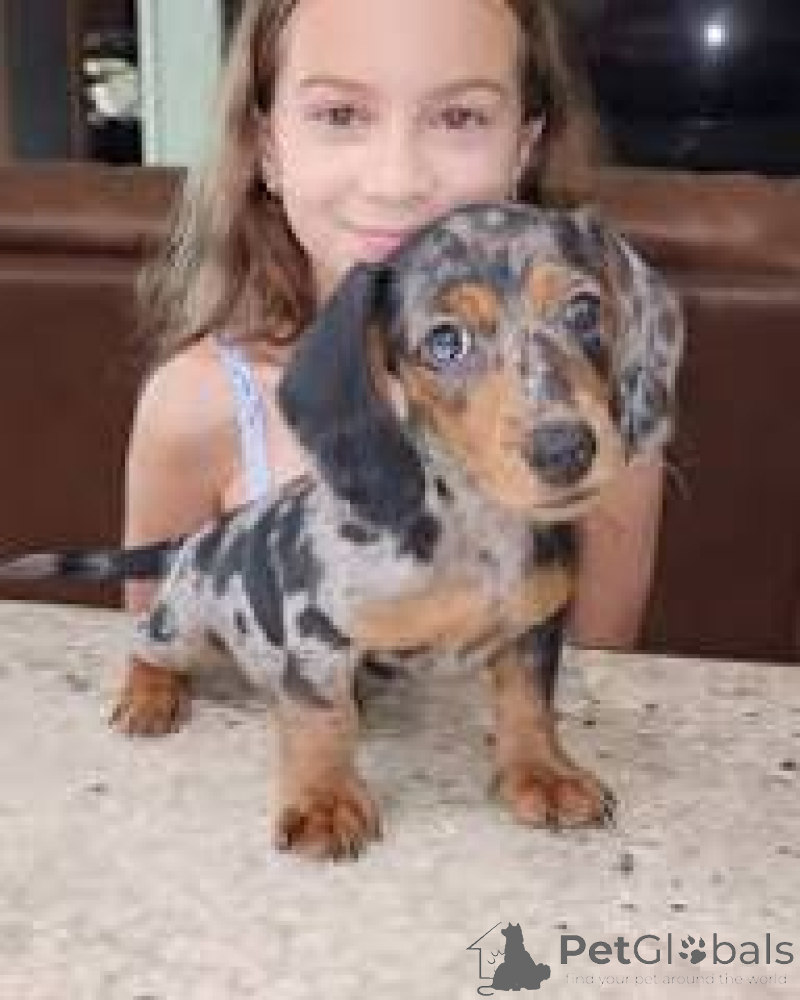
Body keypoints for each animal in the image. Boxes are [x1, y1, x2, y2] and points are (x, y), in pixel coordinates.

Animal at [0, 202, 684, 860]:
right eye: (446, 342)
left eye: (584, 309)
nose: (565, 449)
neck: (474, 529)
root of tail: (195, 542)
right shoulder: (317, 629)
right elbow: (321, 718)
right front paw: (324, 800)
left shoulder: (535, 627)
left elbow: (530, 703)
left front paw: (543, 772)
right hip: (185, 622)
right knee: (146, 642)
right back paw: (150, 694)